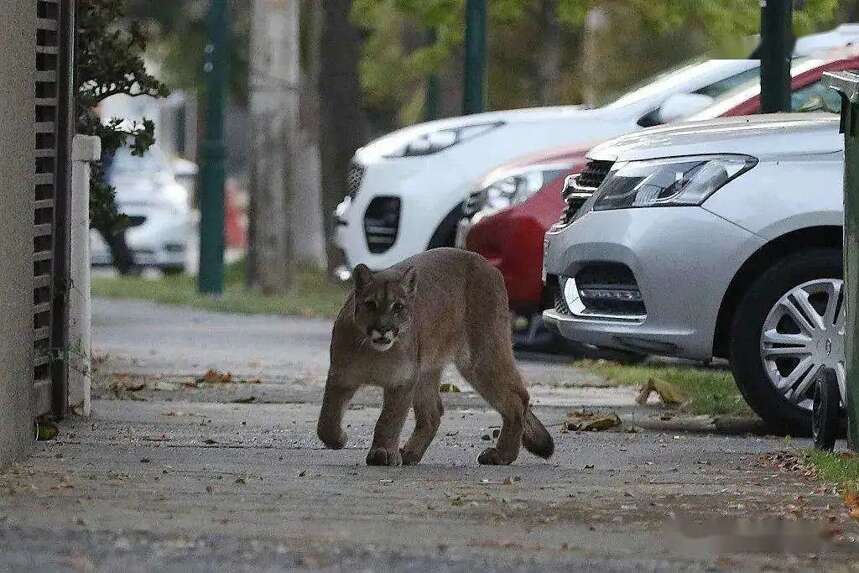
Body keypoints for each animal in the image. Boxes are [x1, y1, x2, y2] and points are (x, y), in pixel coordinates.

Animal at [320, 247, 556, 464]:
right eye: (370, 304)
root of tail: (488, 264)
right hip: (427, 369)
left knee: (518, 400)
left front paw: (382, 453)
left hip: (481, 358)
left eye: (398, 307)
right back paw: (410, 454)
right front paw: (338, 439)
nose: (384, 328)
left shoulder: (402, 380)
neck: (374, 352)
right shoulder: (340, 376)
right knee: (433, 413)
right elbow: (327, 419)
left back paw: (501, 455)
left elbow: (389, 420)